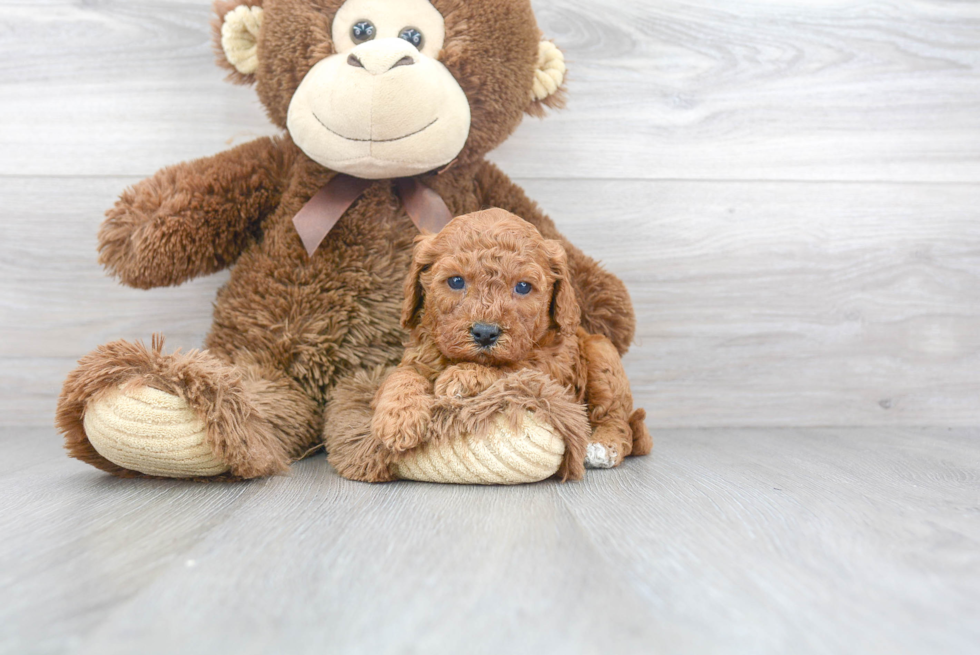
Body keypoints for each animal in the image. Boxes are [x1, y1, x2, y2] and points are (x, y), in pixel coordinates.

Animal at [370, 209, 652, 476]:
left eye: (523, 286)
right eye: (456, 281)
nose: (485, 333)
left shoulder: (553, 370)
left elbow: (512, 368)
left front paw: (464, 376)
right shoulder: (416, 357)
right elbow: (401, 376)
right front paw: (398, 419)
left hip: (602, 354)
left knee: (617, 420)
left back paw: (603, 447)